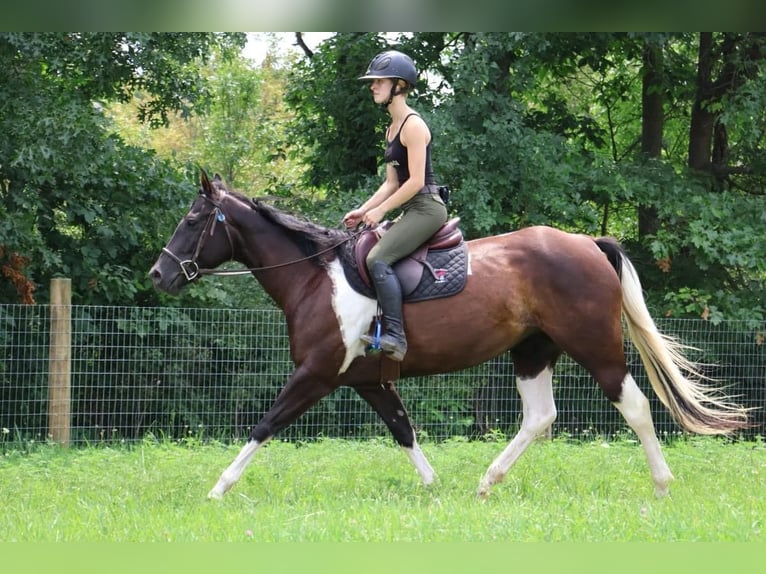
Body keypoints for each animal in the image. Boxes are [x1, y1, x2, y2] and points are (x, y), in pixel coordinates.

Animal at [149, 170, 749, 500]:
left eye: (192, 220)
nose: (158, 275)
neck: (318, 278)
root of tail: (586, 242)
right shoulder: (368, 381)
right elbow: (404, 430)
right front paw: (435, 488)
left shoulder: (316, 375)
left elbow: (265, 424)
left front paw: (218, 489)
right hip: (533, 351)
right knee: (540, 417)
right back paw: (487, 482)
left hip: (595, 348)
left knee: (636, 407)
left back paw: (662, 486)